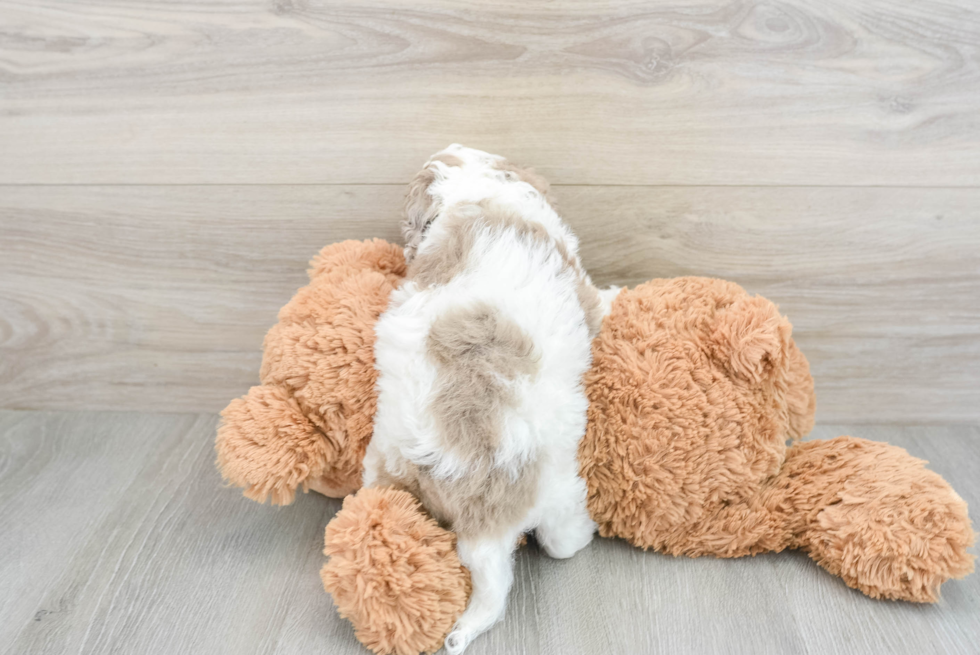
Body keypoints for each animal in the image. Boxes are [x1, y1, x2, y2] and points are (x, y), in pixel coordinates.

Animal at [362, 146, 604, 652]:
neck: (475, 192)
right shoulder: (581, 284)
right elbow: (602, 300)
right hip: (556, 487)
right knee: (549, 550)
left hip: (380, 463)